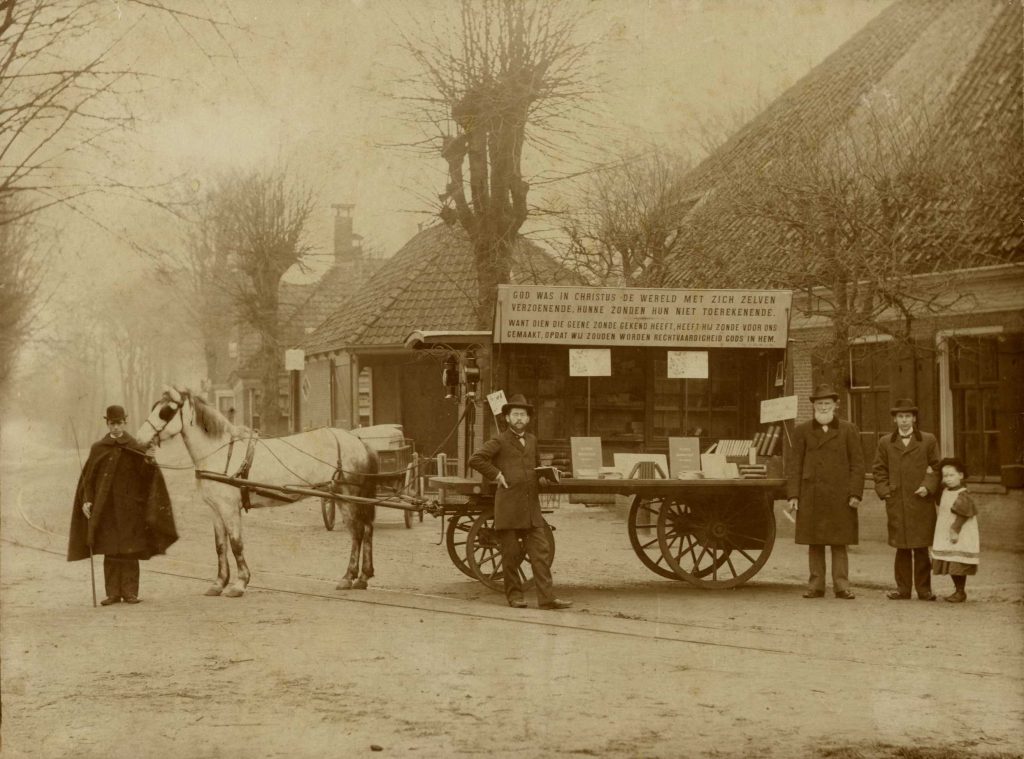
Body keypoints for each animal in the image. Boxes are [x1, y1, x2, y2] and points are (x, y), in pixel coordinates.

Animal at [134, 387, 378, 594]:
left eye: (165, 411)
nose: (138, 439)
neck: (220, 452)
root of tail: (359, 440)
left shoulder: (229, 508)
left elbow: (236, 543)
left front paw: (240, 583)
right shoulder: (215, 509)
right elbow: (220, 546)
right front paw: (219, 583)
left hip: (346, 498)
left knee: (357, 533)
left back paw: (348, 577)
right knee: (367, 530)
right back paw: (363, 577)